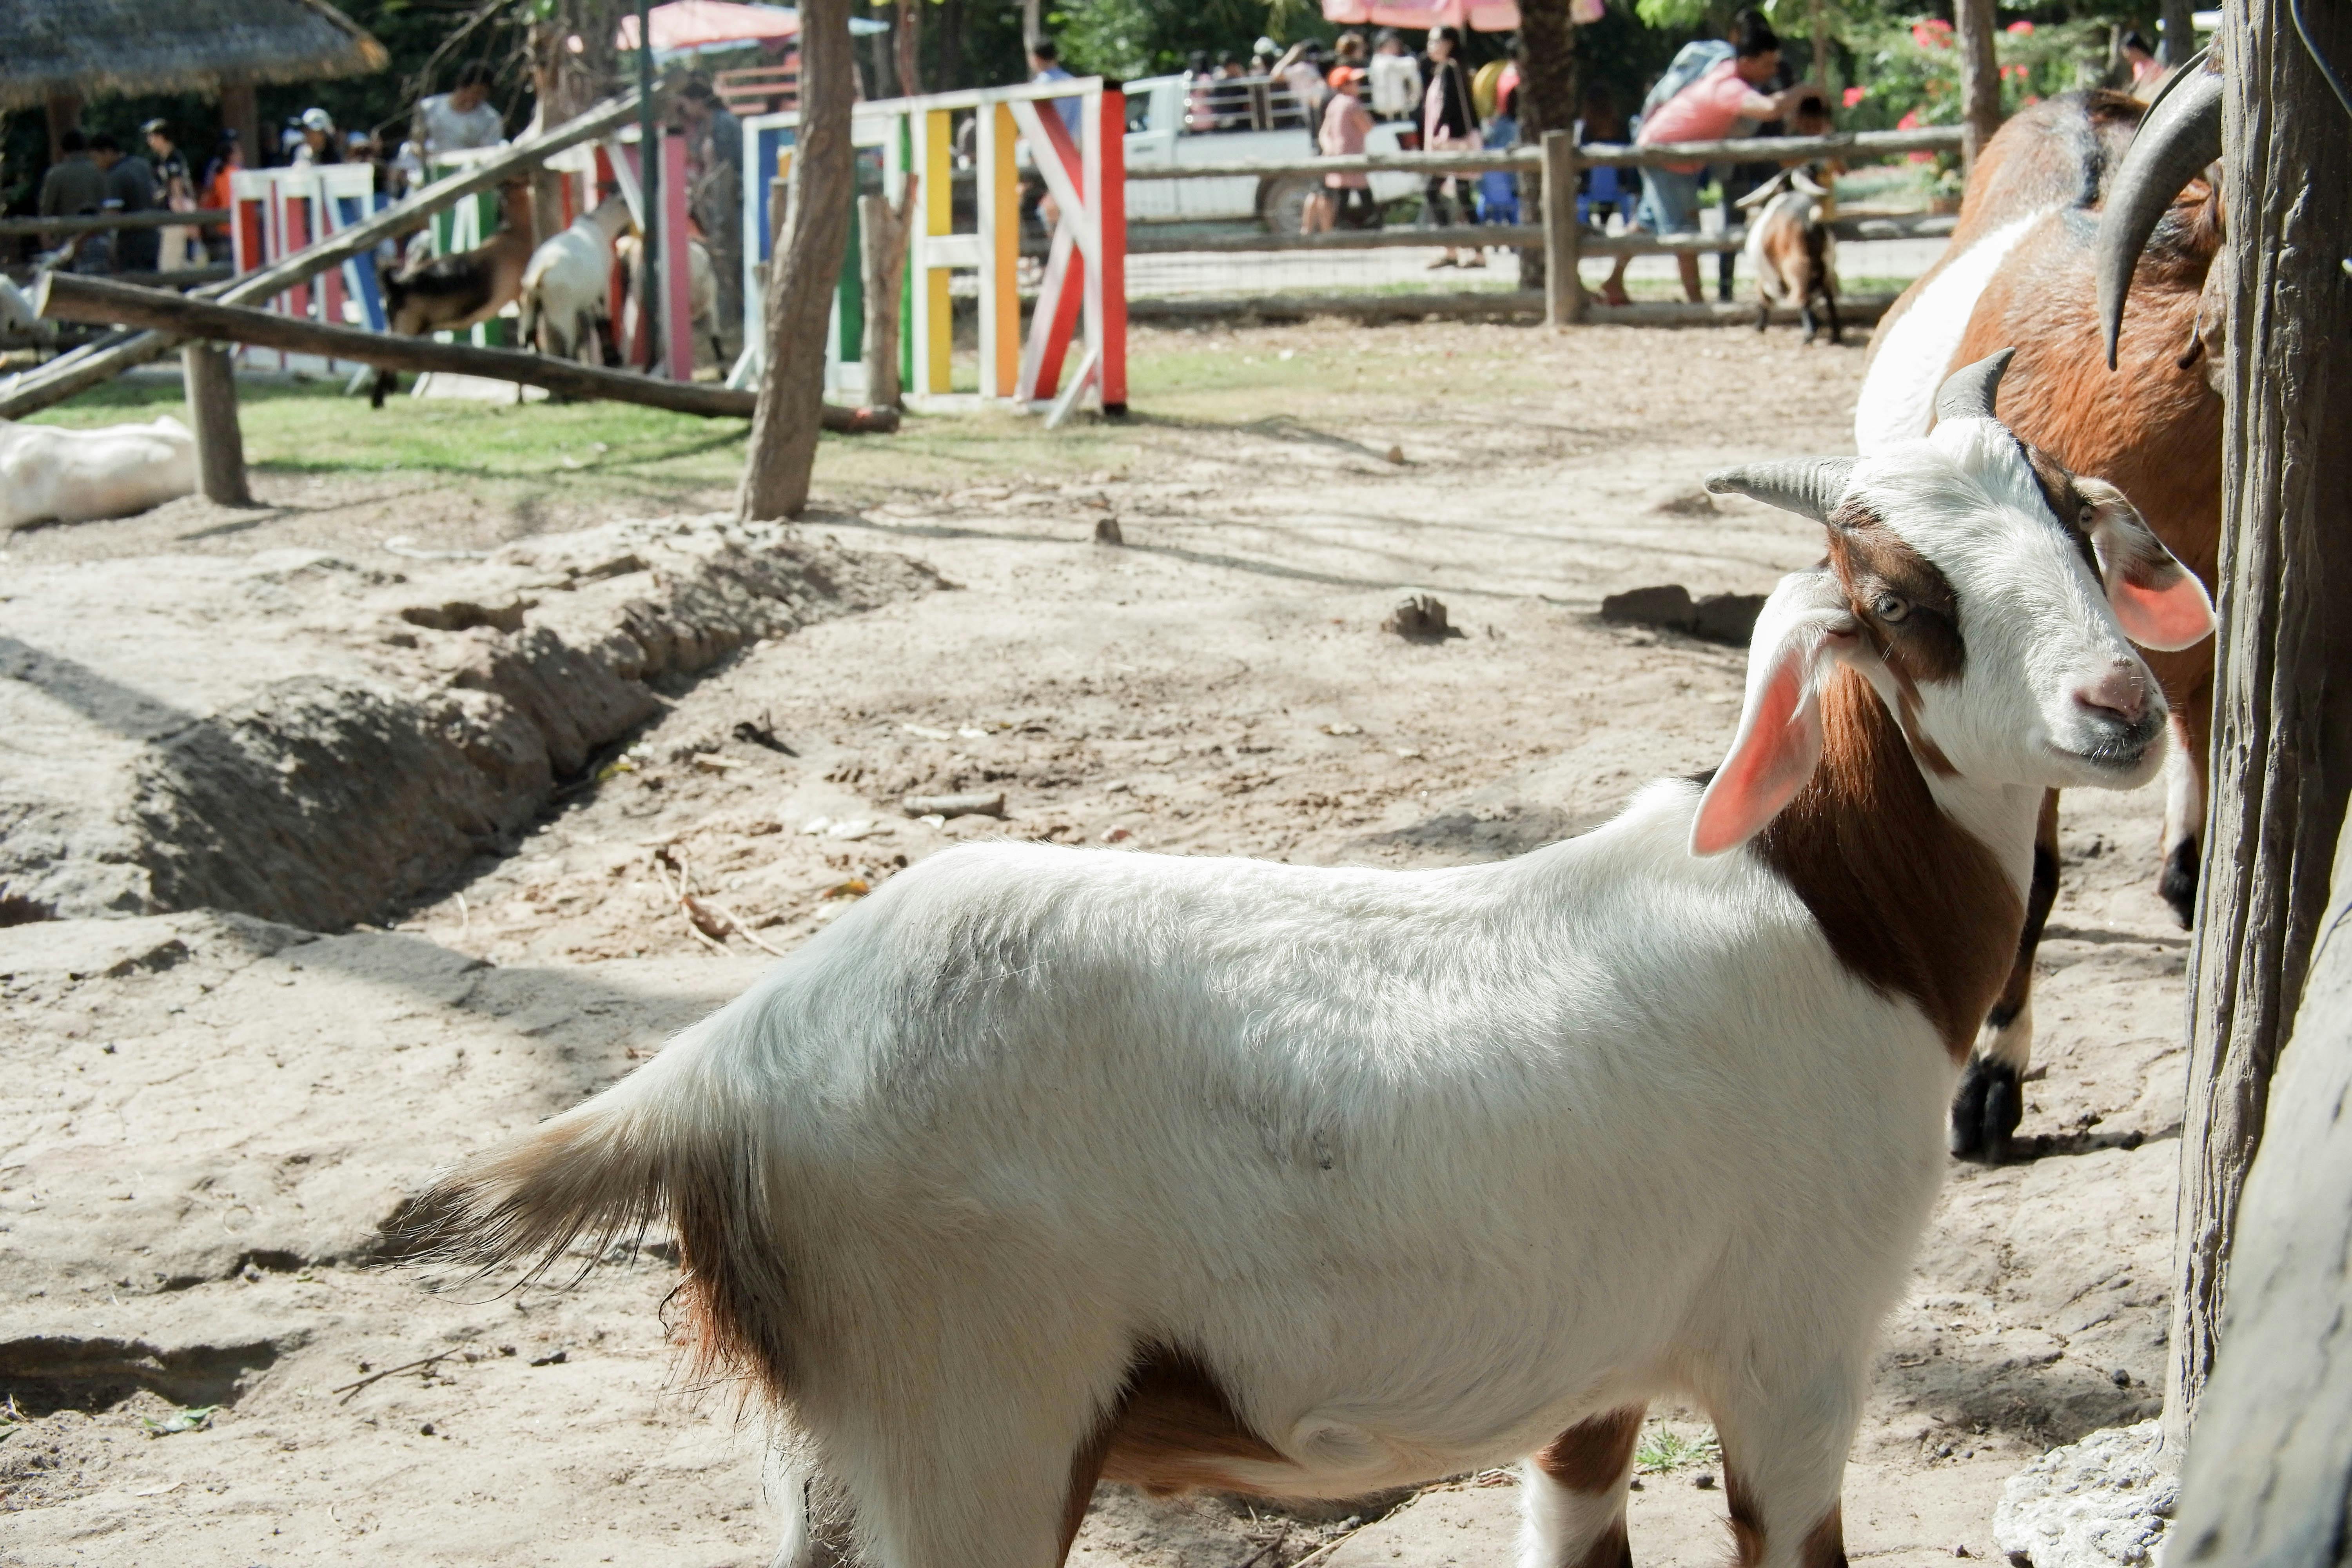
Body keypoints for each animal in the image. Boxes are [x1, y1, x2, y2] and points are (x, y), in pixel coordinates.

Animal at [369, 178, 539, 411]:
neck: (515, 235)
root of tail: (397, 284)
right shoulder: (521, 295)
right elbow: (526, 341)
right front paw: (521, 396)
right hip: (406, 325)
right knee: (384, 358)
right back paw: (378, 400)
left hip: (397, 324)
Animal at [414, 352, 2211, 1568]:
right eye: (1903, 596)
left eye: (2072, 520)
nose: (2120, 710)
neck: (1835, 915)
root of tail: (720, 1067)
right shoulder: (1796, 1358)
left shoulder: (1593, 1388)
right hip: (973, 1432)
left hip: (830, 1458)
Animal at [520, 195, 635, 364]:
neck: (600, 225)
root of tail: (540, 271)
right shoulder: (603, 288)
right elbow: (603, 320)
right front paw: (613, 358)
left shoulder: (589, 295)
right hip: (562, 313)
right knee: (566, 348)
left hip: (531, 305)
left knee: (528, 337)